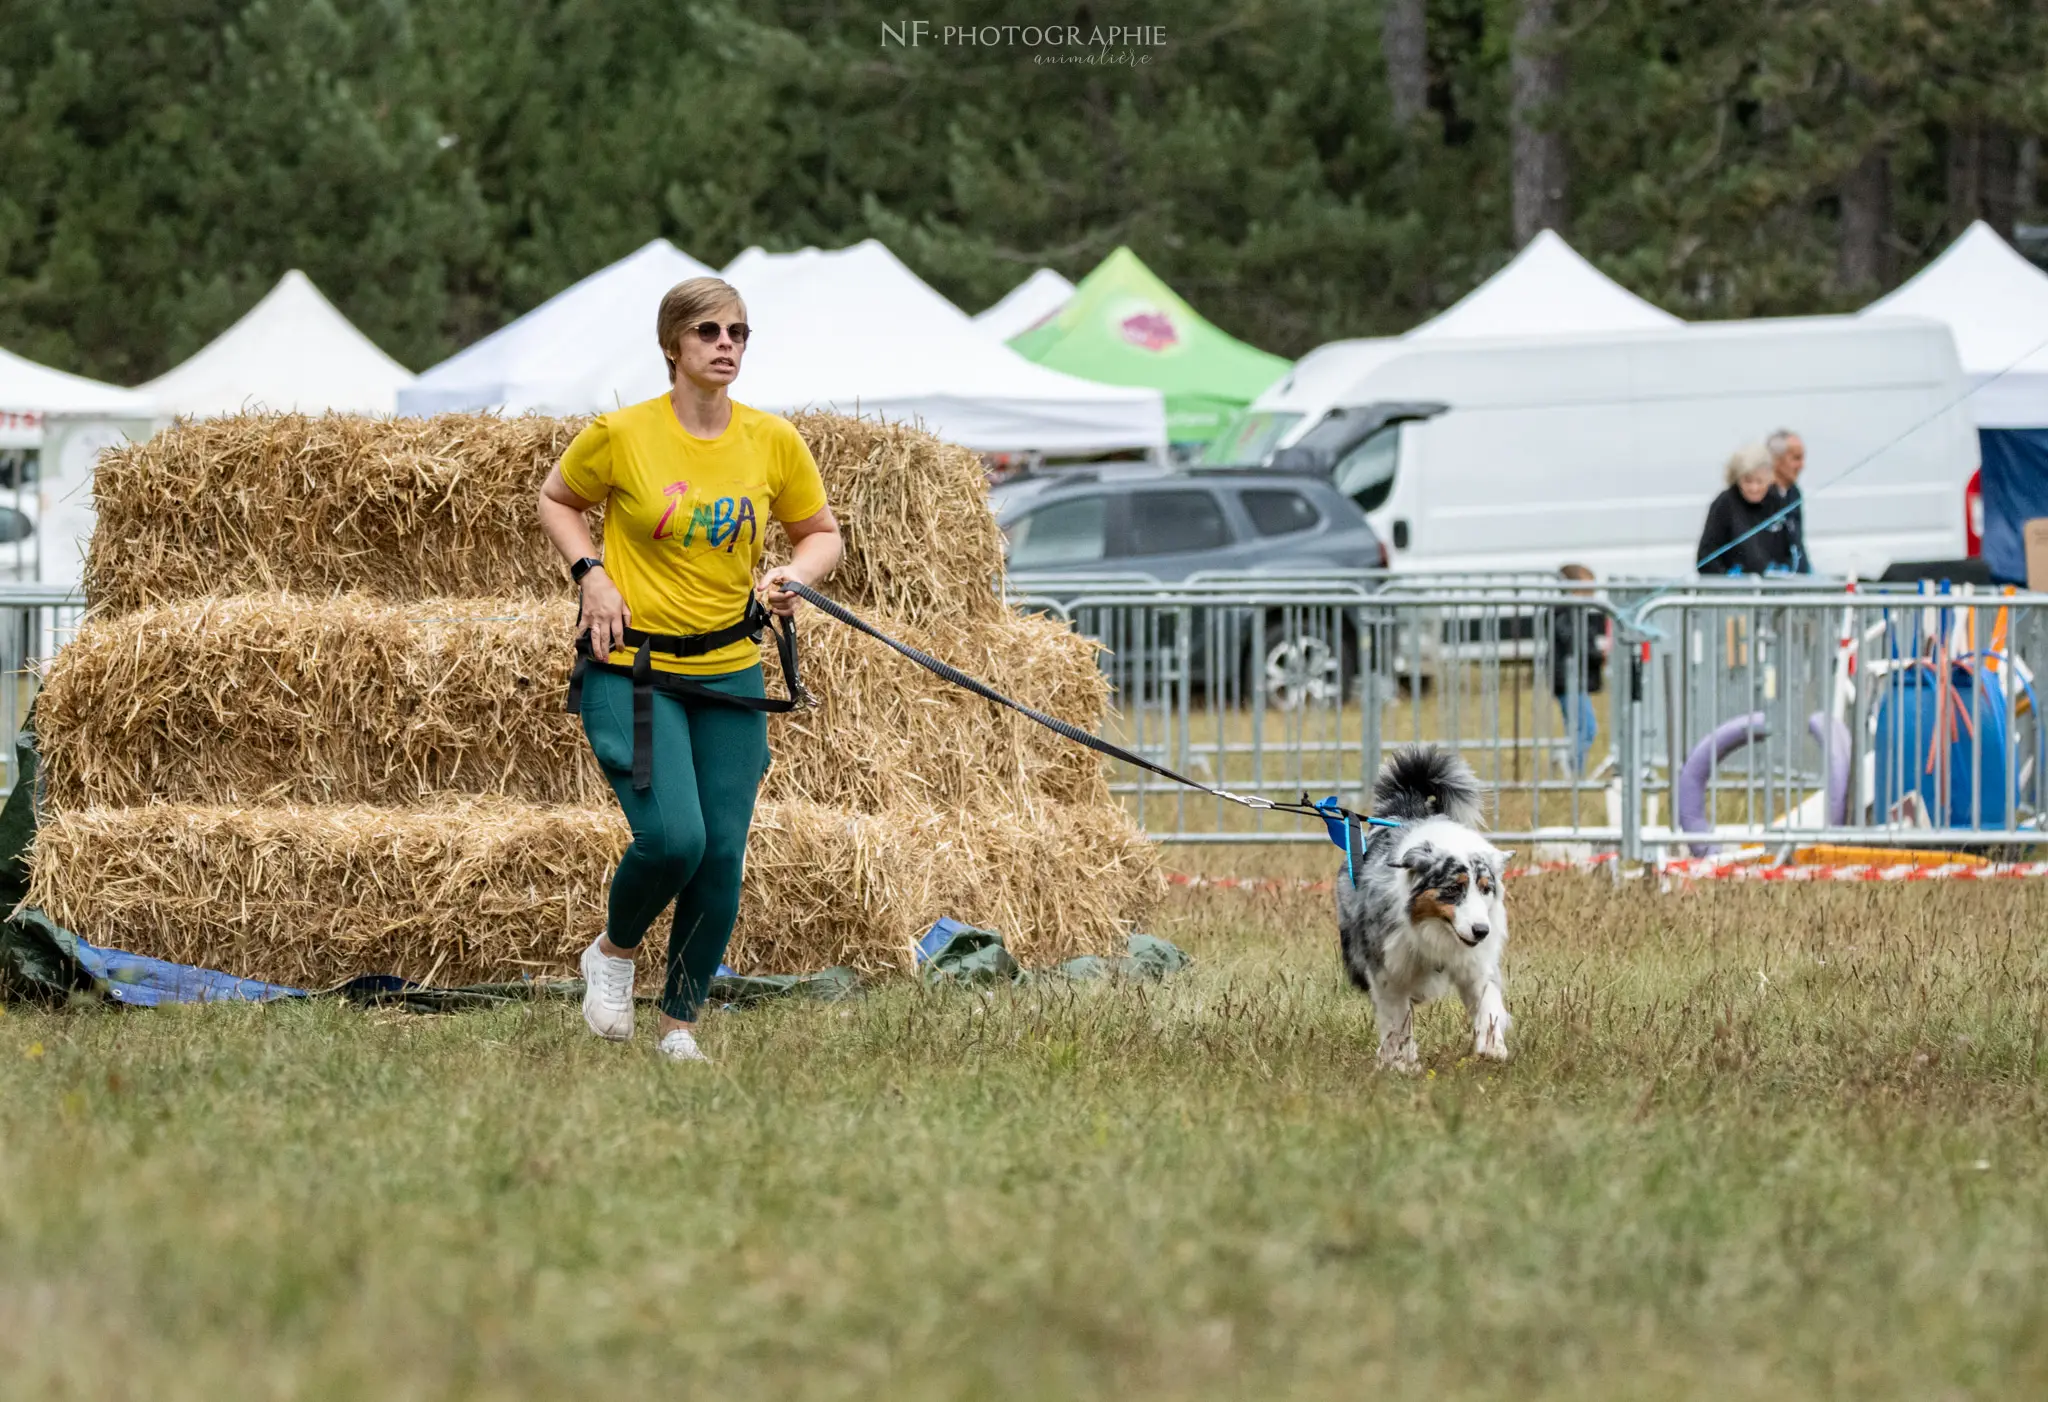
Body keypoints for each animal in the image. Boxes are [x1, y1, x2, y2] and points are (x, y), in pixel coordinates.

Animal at [1335, 749, 1515, 1064]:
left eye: (1485, 888)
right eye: (1454, 889)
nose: (1481, 931)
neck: (1437, 930)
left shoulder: (1476, 964)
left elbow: (1488, 1005)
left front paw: (1493, 1047)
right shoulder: (1387, 970)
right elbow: (1397, 1020)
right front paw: (1401, 1063)